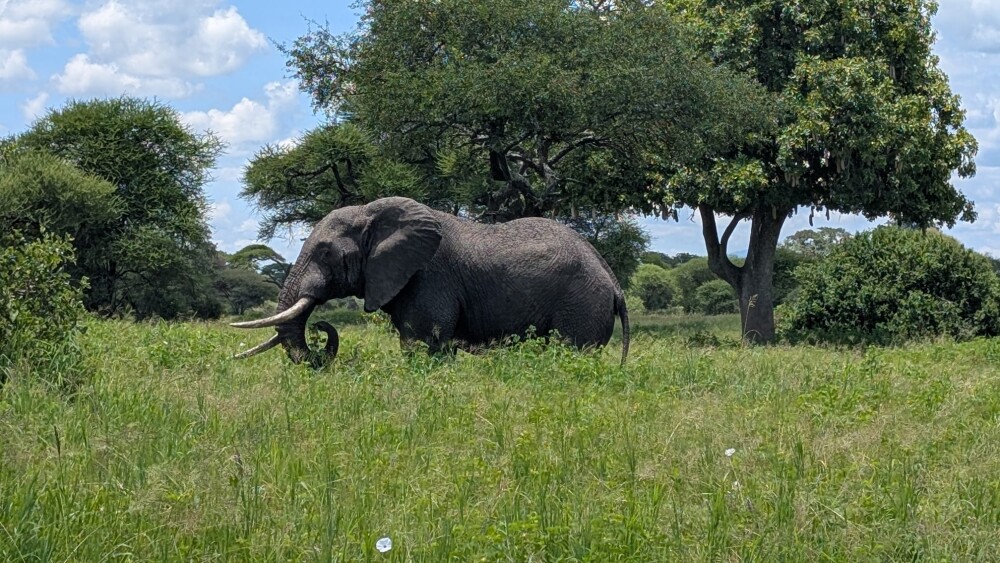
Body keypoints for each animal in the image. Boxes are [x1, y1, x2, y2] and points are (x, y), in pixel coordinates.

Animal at [232, 197, 629, 367]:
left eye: (325, 252)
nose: (320, 327)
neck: (373, 213)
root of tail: (614, 281)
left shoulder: (429, 278)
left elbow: (422, 341)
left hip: (581, 303)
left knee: (573, 350)